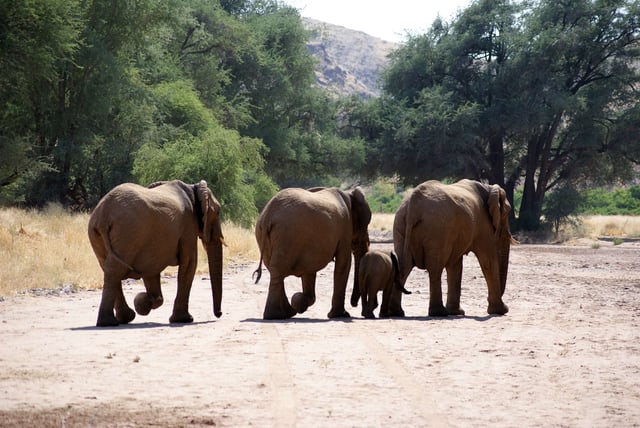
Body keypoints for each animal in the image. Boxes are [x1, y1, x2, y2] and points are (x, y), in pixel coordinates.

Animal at [88, 180, 224, 327]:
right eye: (218, 212)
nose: (219, 314)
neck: (193, 188)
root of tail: (103, 215)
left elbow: (151, 272)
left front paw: (142, 303)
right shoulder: (188, 226)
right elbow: (189, 264)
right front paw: (183, 320)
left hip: (100, 234)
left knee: (109, 269)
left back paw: (118, 320)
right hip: (127, 232)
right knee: (115, 270)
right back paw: (112, 321)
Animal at [253, 187, 372, 320]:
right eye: (356, 241)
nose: (354, 304)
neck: (349, 195)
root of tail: (268, 215)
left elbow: (309, 271)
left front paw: (298, 301)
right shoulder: (345, 228)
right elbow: (344, 264)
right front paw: (341, 315)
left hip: (266, 234)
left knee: (275, 271)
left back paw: (283, 314)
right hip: (286, 234)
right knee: (278, 270)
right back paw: (279, 314)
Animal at [391, 179, 513, 317]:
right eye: (508, 212)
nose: (486, 300)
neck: (489, 188)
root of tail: (414, 203)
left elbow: (455, 265)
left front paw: (457, 312)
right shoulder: (483, 225)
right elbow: (488, 261)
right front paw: (501, 311)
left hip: (400, 224)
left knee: (404, 265)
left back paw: (396, 312)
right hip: (437, 229)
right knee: (435, 267)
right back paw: (438, 313)